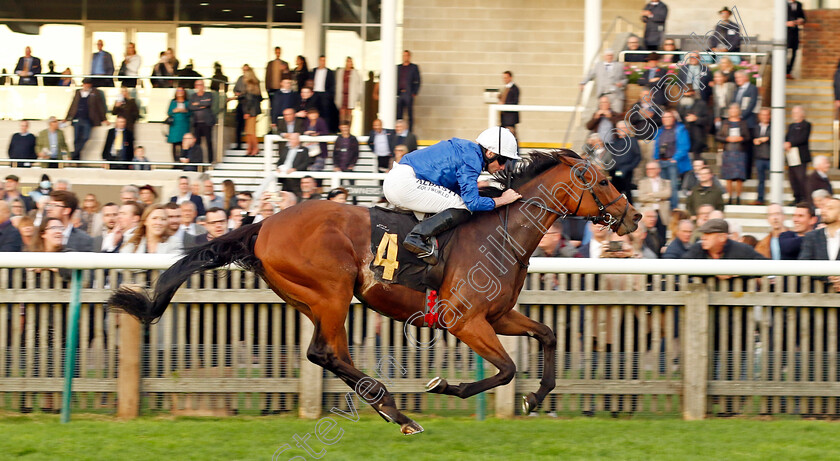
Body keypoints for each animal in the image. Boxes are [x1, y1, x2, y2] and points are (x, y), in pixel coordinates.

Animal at [110, 149, 636, 434]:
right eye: (602, 180)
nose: (634, 217)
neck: (501, 230)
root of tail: (263, 225)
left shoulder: (498, 316)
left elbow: (547, 335)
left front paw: (536, 399)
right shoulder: (464, 319)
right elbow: (505, 369)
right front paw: (446, 385)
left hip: (310, 299)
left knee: (326, 354)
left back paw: (393, 410)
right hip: (331, 292)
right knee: (326, 353)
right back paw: (396, 410)